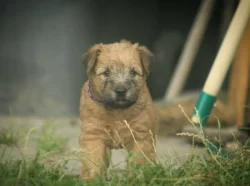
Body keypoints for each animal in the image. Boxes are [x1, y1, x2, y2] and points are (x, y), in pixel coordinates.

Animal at [79, 40, 157, 181]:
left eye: (133, 72)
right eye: (106, 73)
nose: (121, 91)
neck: (116, 111)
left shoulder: (140, 136)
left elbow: (138, 159)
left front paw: (135, 178)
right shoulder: (93, 135)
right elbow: (93, 160)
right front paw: (93, 179)